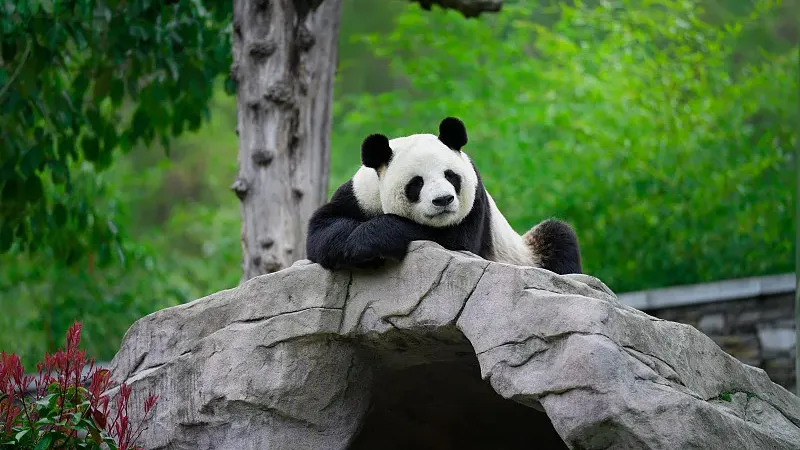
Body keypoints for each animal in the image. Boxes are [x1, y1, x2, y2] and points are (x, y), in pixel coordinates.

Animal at [306, 117, 582, 275]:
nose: (443, 200)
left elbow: (454, 243)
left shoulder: (475, 202)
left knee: (558, 237)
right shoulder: (359, 194)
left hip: (524, 253)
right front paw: (359, 246)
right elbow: (322, 231)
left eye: (451, 176)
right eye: (416, 183)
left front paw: (373, 240)